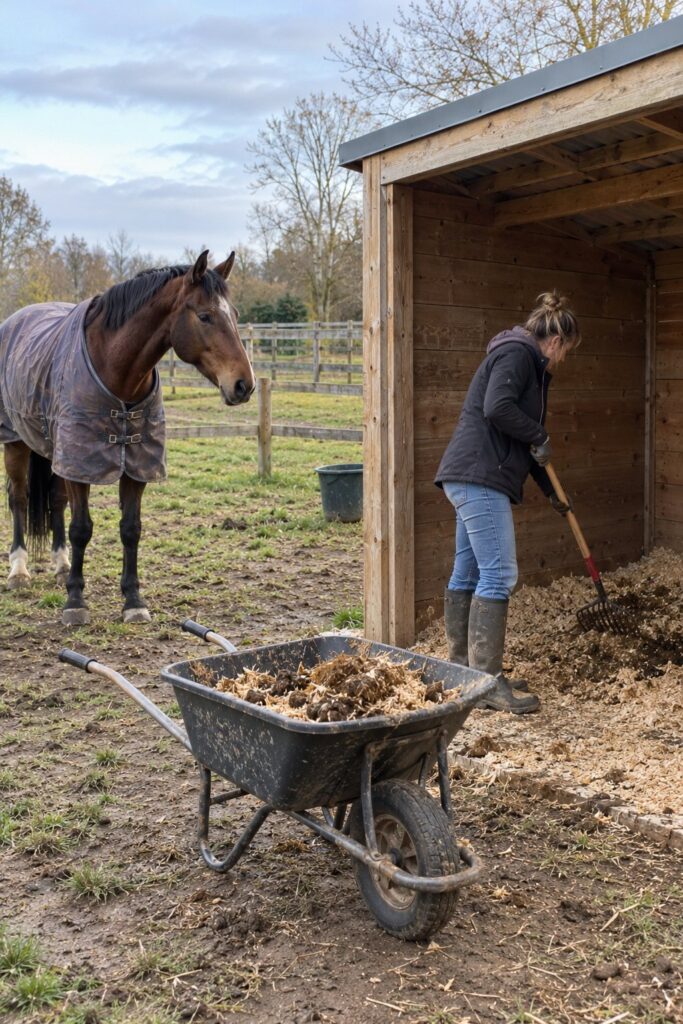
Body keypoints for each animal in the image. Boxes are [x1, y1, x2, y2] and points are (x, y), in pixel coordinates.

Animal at [0, 249, 254, 626]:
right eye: (205, 316)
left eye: (234, 316)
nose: (244, 384)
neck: (115, 369)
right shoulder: (81, 462)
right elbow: (82, 528)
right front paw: (75, 602)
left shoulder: (136, 464)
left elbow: (131, 529)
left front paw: (133, 599)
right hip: (16, 442)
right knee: (18, 498)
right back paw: (19, 570)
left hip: (55, 451)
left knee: (55, 502)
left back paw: (60, 565)